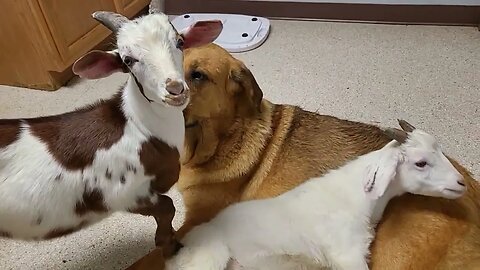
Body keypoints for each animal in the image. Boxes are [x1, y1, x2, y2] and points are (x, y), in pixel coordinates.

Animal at [0, 0, 222, 258]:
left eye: (180, 42)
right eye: (128, 60)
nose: (175, 89)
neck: (138, 127)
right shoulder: (123, 193)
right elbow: (168, 207)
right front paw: (168, 246)